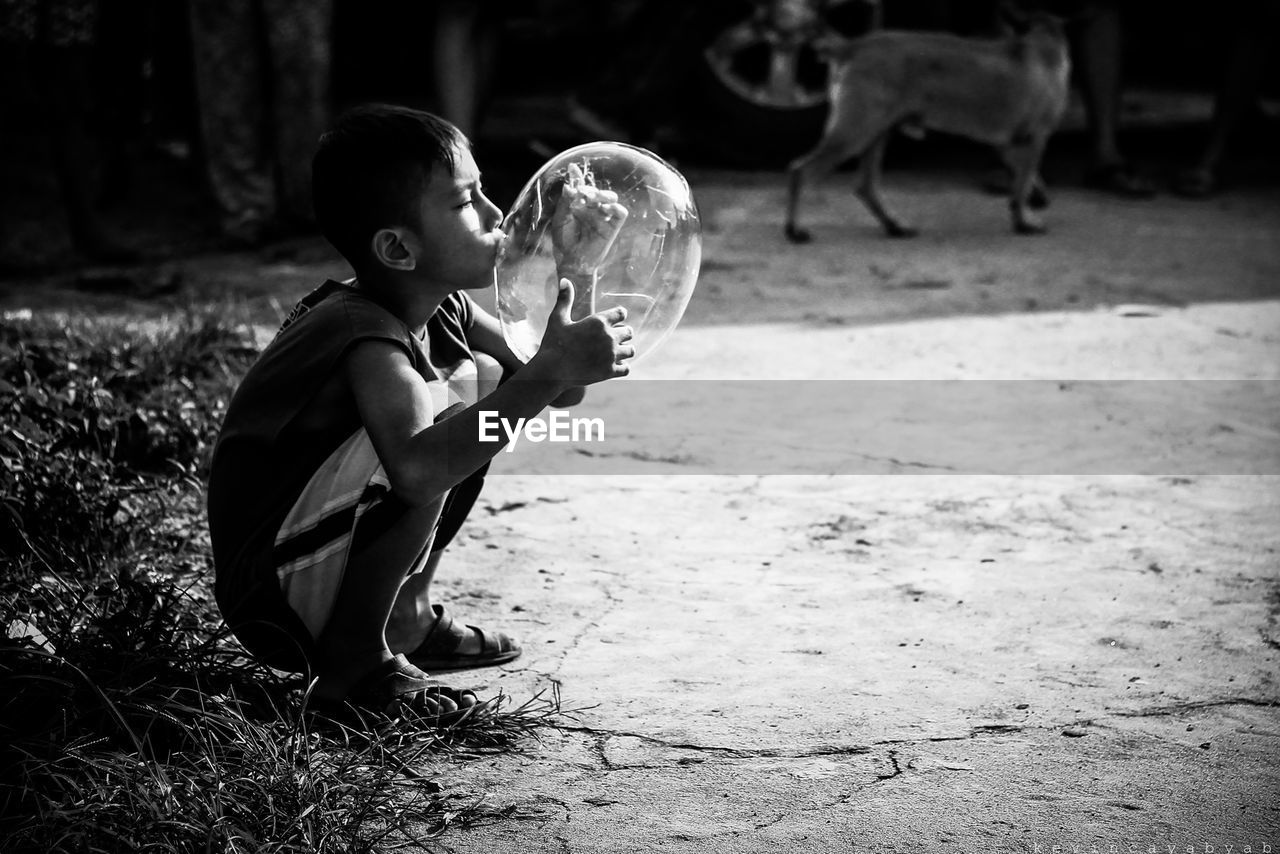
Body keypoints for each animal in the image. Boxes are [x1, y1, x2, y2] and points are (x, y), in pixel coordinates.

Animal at [788, 13, 1070, 241]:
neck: (1041, 42)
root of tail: (851, 46)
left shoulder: (1010, 145)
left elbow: (1024, 180)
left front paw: (1027, 207)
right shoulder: (1035, 139)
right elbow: (1023, 184)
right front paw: (1024, 220)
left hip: (876, 134)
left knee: (865, 187)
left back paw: (894, 226)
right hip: (856, 133)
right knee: (802, 171)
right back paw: (794, 230)